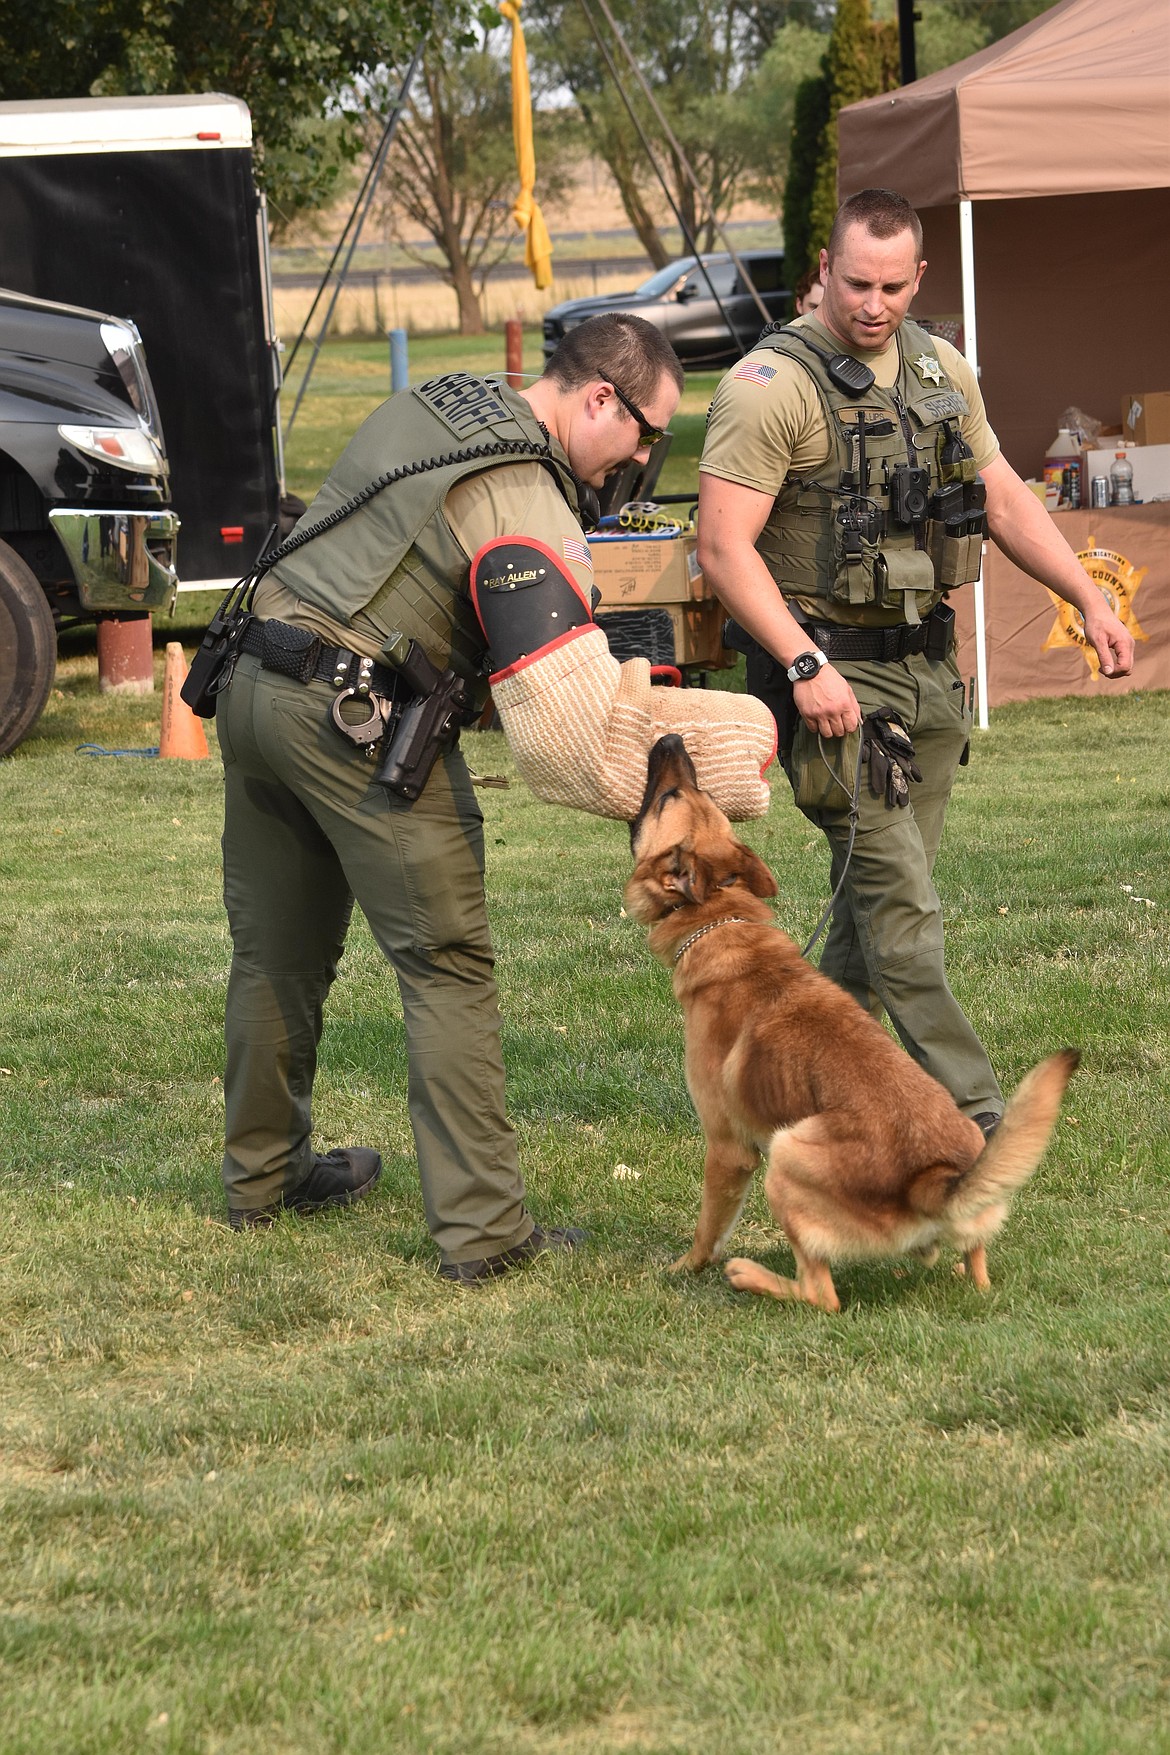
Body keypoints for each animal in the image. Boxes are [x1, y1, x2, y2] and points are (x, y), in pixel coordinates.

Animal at [620, 733, 1080, 1312]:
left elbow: (708, 1226)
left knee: (822, 1294)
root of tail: (933, 1180)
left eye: (669, 797)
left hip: (787, 1153)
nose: (673, 738)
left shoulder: (728, 1149)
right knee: (975, 1265)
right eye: (694, 792)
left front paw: (684, 1267)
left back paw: (750, 1276)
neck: (722, 920)